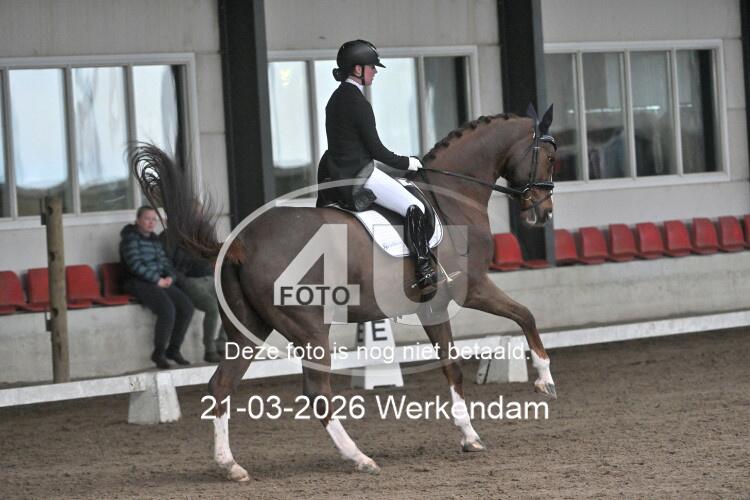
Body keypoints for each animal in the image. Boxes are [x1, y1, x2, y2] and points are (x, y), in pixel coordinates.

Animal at [131, 105, 557, 481]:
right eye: (551, 158)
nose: (543, 212)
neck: (451, 196)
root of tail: (240, 244)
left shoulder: (430, 307)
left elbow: (452, 366)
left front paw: (470, 436)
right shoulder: (471, 290)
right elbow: (525, 315)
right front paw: (544, 381)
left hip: (247, 331)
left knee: (221, 385)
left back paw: (231, 466)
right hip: (310, 329)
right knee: (316, 394)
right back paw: (359, 458)